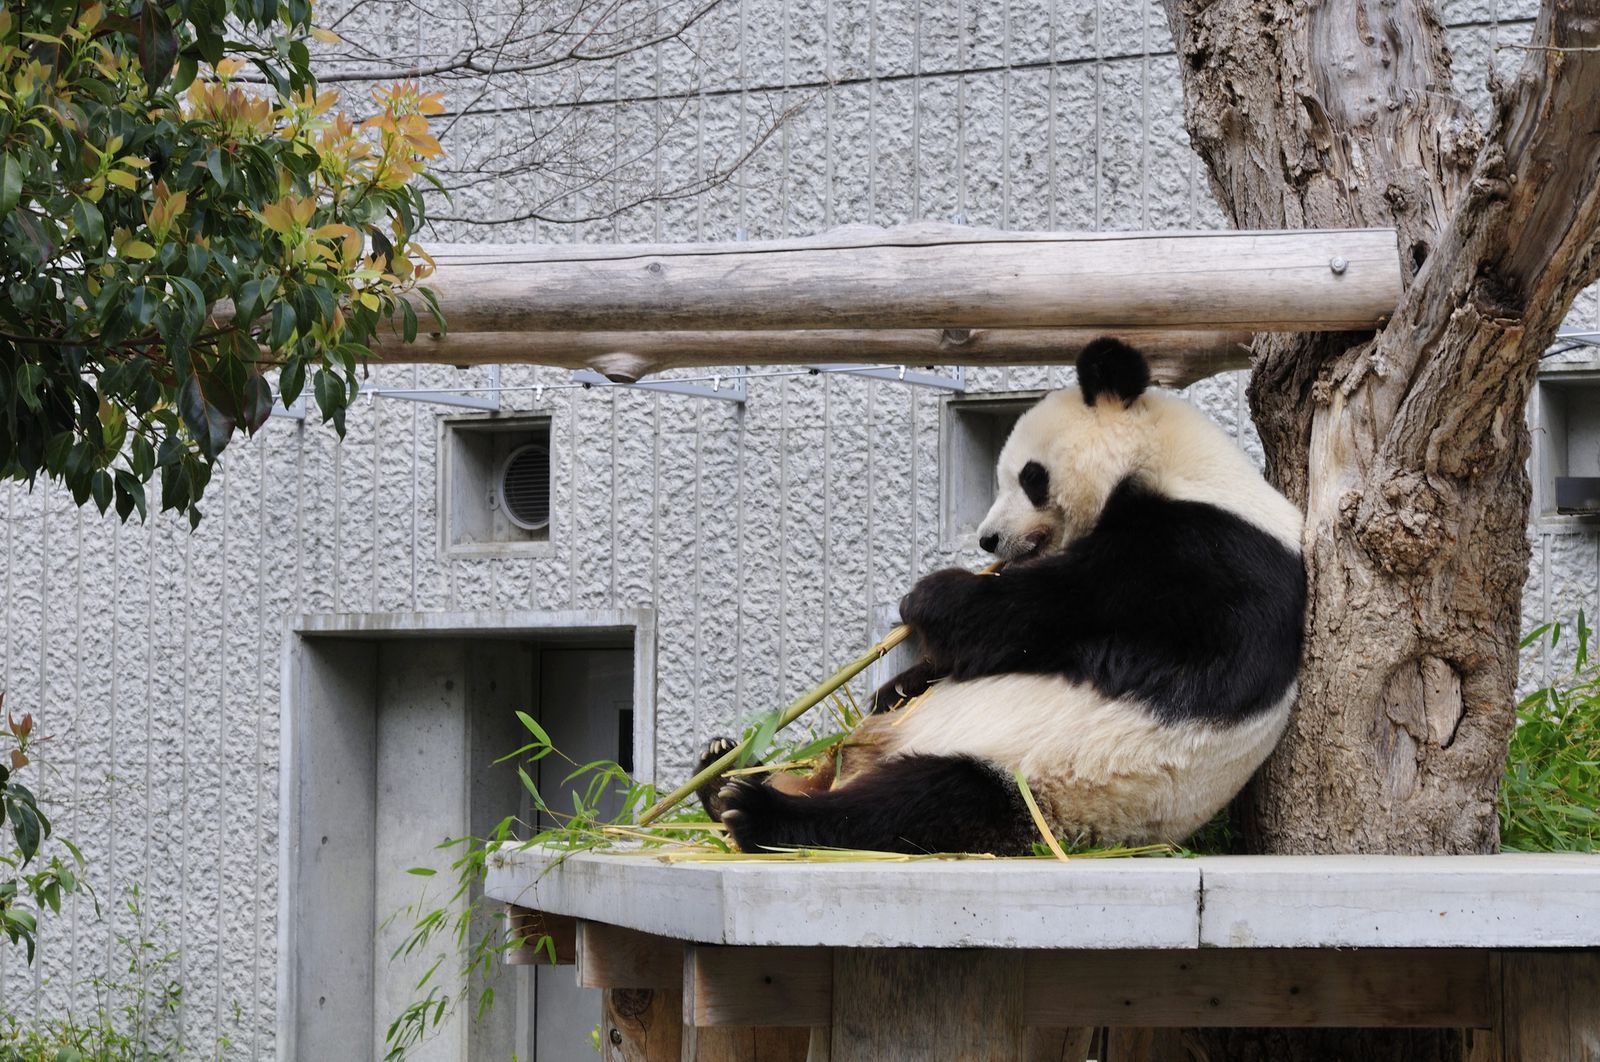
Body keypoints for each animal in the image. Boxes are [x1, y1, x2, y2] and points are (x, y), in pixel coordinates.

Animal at [707, 340, 1305, 857]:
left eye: (1030, 477)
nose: (988, 540)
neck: (1181, 467)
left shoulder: (1210, 557)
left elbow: (1048, 614)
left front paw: (930, 597)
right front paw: (904, 667)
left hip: (1041, 788)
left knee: (923, 803)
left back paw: (754, 811)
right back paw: (722, 772)